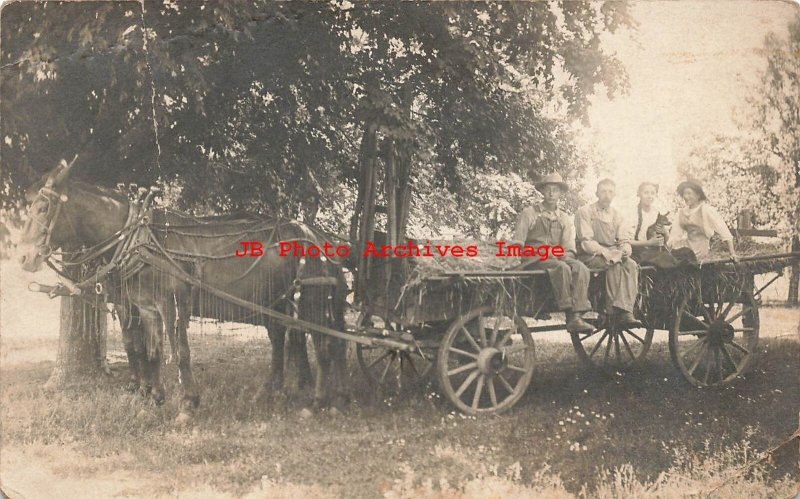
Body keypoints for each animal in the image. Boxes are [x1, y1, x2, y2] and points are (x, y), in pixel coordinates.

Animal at [17, 162, 348, 424]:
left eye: (43, 208)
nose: (23, 256)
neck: (139, 241)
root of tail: (318, 236)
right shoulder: (146, 307)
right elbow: (149, 351)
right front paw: (153, 399)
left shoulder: (172, 304)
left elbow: (181, 354)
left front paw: (187, 404)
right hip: (278, 301)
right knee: (284, 341)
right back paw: (276, 393)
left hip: (311, 300)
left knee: (323, 345)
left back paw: (318, 402)